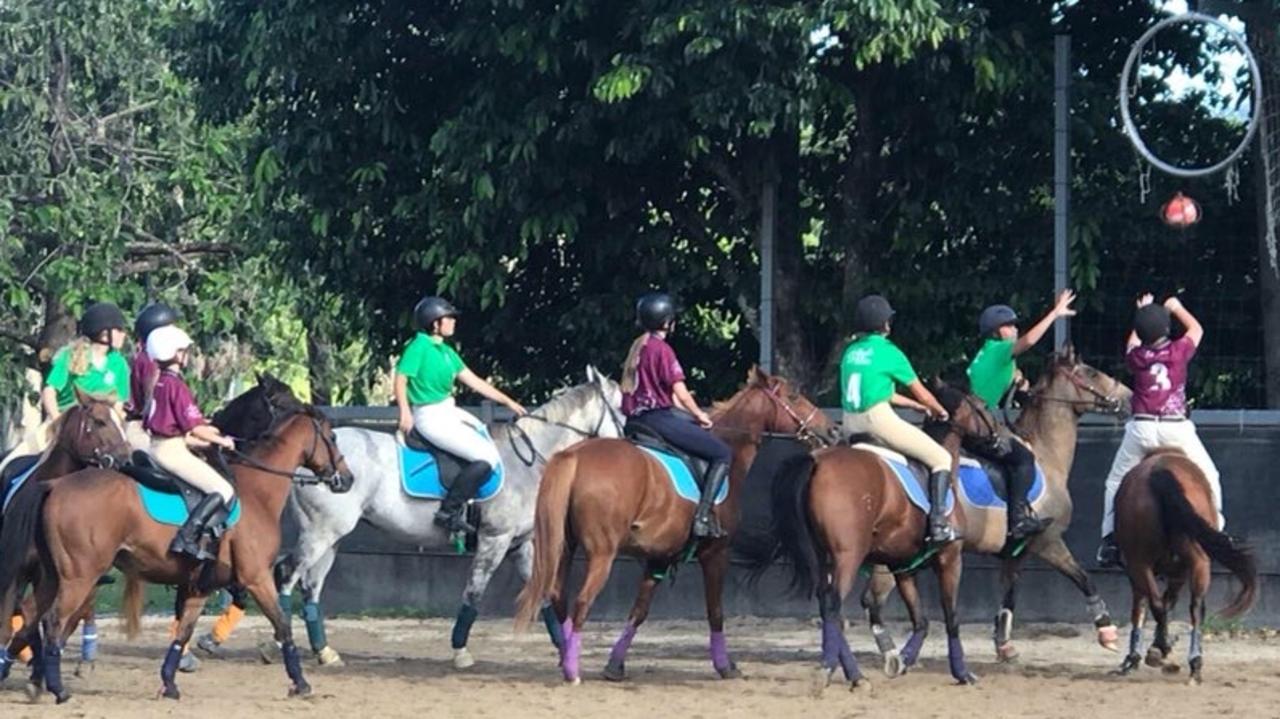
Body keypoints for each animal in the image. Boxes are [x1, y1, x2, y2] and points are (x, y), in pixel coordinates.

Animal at [0, 404, 353, 701]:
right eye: (333, 437)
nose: (347, 479)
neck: (257, 492)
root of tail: (55, 485)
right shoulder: (256, 578)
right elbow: (283, 625)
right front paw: (301, 683)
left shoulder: (200, 587)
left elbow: (182, 633)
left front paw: (169, 683)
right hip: (79, 577)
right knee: (53, 621)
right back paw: (57, 689)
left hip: (52, 576)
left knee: (30, 614)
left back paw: (25, 676)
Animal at [211, 363, 624, 665]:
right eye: (621, 407)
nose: (630, 440)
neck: (529, 458)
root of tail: (309, 462)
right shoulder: (495, 540)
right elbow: (474, 592)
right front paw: (460, 650)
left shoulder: (520, 544)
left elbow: (543, 592)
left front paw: (565, 651)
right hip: (322, 533)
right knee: (287, 575)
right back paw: (276, 644)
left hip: (331, 536)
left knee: (310, 585)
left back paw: (323, 651)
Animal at [514, 365, 834, 680]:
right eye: (793, 397)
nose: (831, 430)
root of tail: (575, 455)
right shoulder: (715, 553)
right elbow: (715, 611)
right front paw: (725, 665)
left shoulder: (660, 557)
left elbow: (639, 611)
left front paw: (615, 666)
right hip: (602, 553)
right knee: (581, 602)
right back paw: (571, 669)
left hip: (565, 547)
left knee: (558, 596)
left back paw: (566, 656)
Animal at [860, 347, 1131, 665]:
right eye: (1091, 373)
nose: (1128, 396)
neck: (1046, 456)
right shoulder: (1047, 542)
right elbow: (1084, 578)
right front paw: (1107, 632)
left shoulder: (1016, 552)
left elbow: (1009, 596)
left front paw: (1004, 645)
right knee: (872, 600)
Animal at [1116, 450, 1254, 680]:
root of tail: (1159, 470)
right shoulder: (1173, 573)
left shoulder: (1166, 574)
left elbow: (1148, 606)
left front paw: (1139, 655)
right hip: (1191, 562)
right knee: (1193, 607)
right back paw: (1191, 660)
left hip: (1143, 563)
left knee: (1163, 604)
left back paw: (1169, 652)